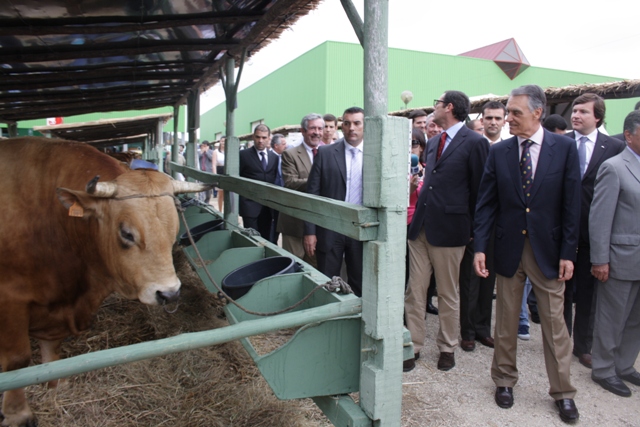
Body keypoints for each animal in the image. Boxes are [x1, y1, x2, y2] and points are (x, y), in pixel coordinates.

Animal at [0, 137, 210, 427]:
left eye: (174, 229)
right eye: (127, 233)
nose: (169, 293)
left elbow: (51, 347)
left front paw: (58, 384)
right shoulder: (10, 301)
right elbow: (16, 361)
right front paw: (17, 414)